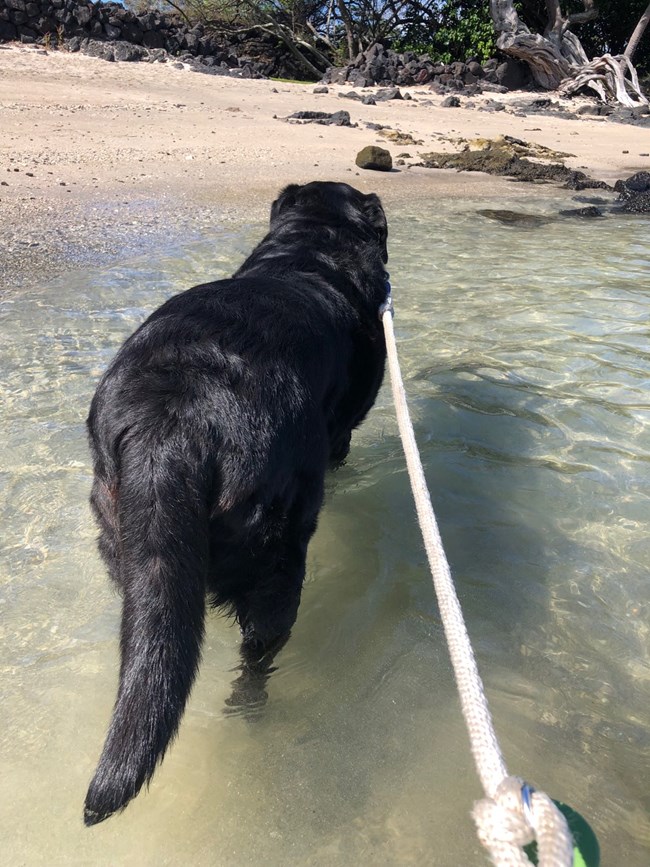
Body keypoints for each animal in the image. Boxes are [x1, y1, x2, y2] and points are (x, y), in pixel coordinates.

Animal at [83, 181, 388, 828]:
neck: (309, 252)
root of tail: (175, 419)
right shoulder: (342, 435)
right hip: (276, 559)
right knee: (256, 657)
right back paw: (254, 714)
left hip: (120, 532)